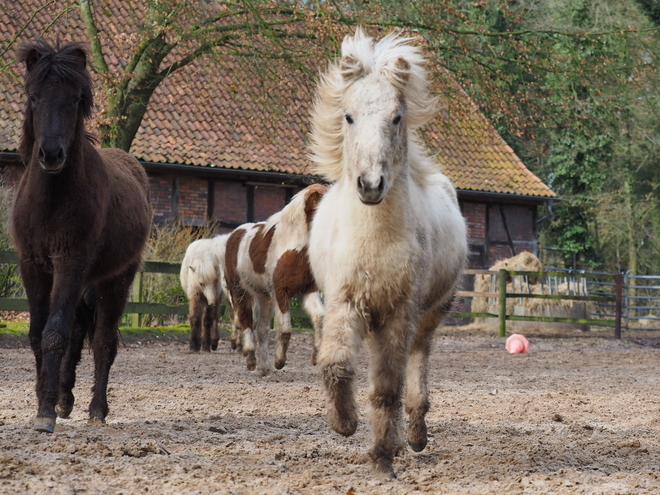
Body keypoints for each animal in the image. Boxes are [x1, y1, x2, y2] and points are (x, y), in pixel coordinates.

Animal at [12, 40, 151, 432]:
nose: (51, 154)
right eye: (34, 97)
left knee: (103, 341)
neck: (53, 199)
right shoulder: (33, 266)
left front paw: (45, 412)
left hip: (116, 280)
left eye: (75, 99)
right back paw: (65, 397)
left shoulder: (69, 263)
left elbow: (55, 333)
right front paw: (47, 400)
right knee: (78, 332)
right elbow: (39, 334)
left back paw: (96, 410)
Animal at [224, 183, 328, 376]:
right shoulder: (281, 292)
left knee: (261, 330)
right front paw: (280, 361)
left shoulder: (309, 290)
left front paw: (315, 357)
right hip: (240, 293)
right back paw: (251, 360)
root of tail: (234, 234)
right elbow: (285, 330)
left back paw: (264, 367)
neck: (292, 247)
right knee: (246, 322)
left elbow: (320, 318)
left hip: (264, 296)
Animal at [306, 29, 466, 478]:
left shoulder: (397, 312)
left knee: (415, 364)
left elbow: (386, 389)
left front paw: (382, 457)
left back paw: (414, 436)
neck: (375, 240)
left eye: (397, 118)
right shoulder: (344, 303)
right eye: (348, 116)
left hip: (428, 314)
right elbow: (336, 365)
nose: (371, 184)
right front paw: (344, 423)